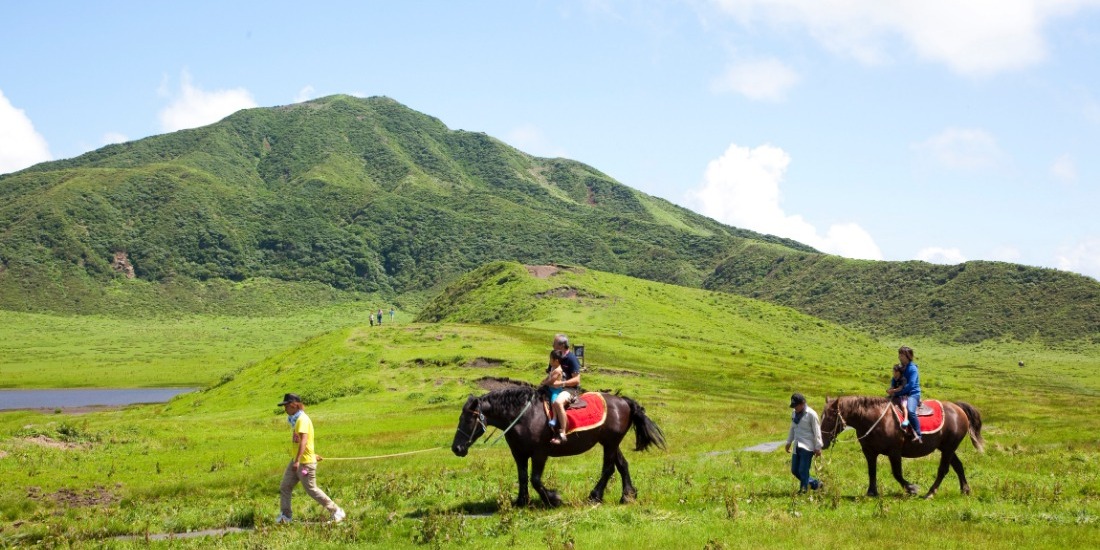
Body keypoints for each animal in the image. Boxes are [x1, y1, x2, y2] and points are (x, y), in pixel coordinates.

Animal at [451, 382, 664, 506]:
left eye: (468, 419)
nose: (456, 448)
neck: (524, 416)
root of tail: (624, 401)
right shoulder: (519, 454)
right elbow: (522, 477)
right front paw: (521, 501)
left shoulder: (540, 453)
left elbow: (535, 479)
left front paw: (553, 499)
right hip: (610, 442)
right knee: (622, 466)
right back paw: (627, 496)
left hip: (610, 443)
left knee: (608, 469)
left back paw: (595, 496)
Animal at [822, 396, 985, 499]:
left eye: (830, 418)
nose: (823, 443)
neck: (874, 419)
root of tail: (958, 408)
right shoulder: (869, 452)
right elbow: (872, 472)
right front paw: (871, 492)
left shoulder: (894, 452)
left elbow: (897, 473)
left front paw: (912, 488)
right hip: (946, 448)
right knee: (958, 466)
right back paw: (965, 490)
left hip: (948, 448)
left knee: (943, 470)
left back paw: (930, 493)